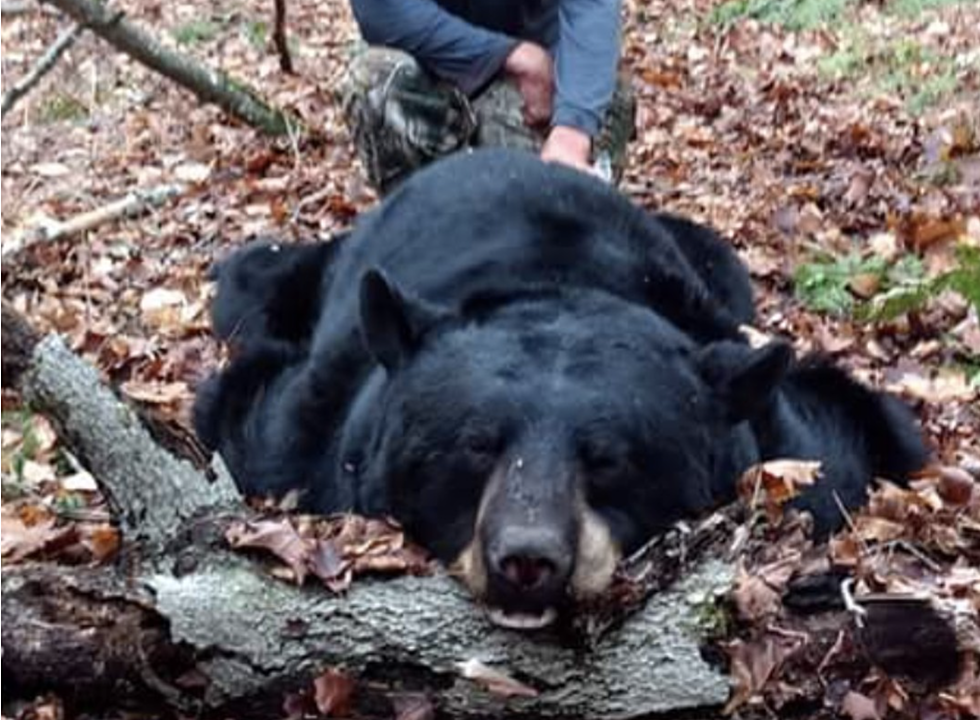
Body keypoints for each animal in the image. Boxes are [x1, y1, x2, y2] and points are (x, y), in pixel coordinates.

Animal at [195, 149, 932, 628]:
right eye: (476, 445)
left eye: (609, 458)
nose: (527, 560)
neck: (555, 283)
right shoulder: (309, 428)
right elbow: (241, 414)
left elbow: (838, 450)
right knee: (249, 275)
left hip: (716, 258)